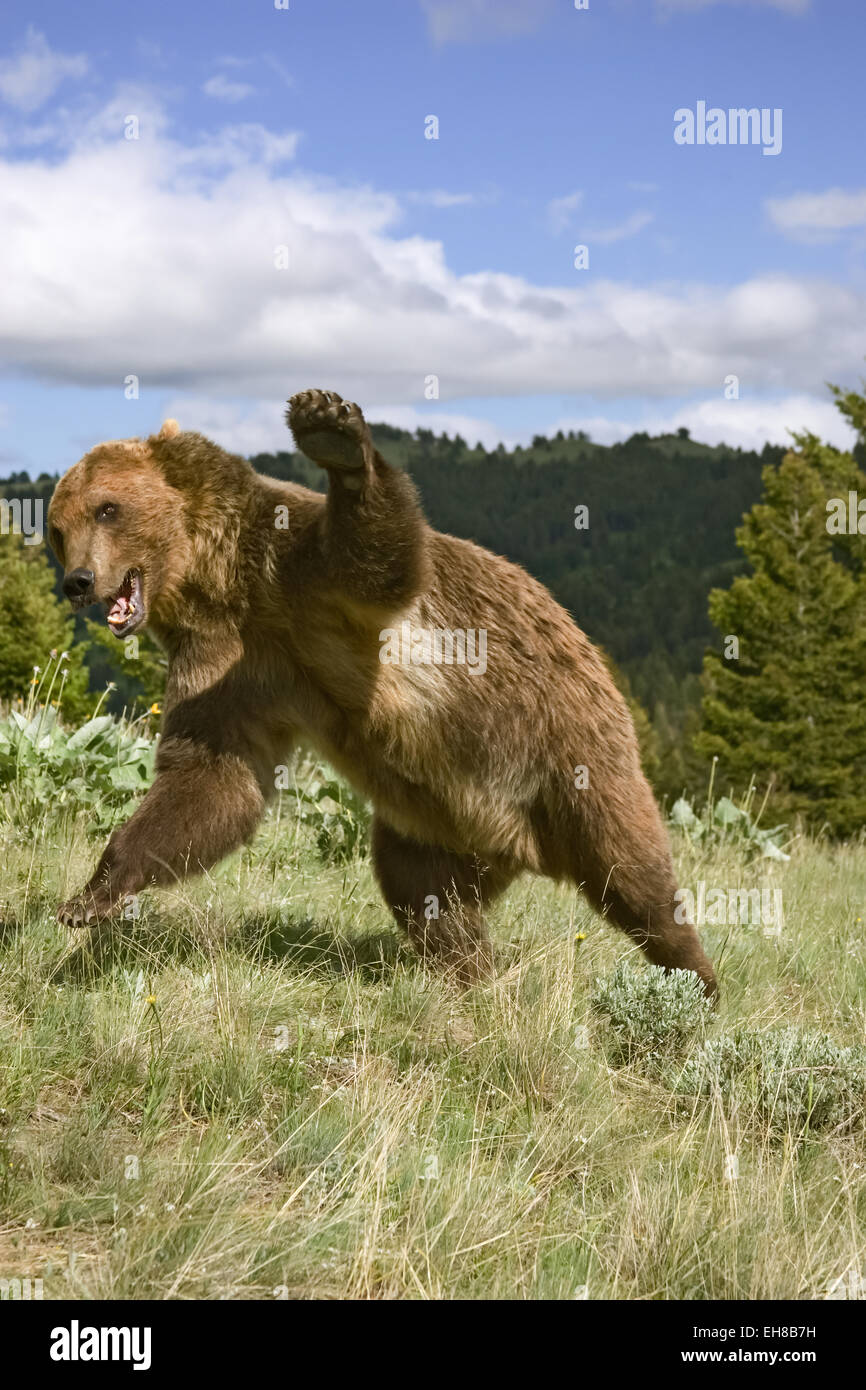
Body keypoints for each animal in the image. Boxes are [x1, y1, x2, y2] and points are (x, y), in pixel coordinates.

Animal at [44, 391, 717, 995]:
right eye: (56, 528)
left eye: (107, 509)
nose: (78, 581)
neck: (224, 584)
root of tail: (523, 847)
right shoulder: (226, 660)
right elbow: (213, 776)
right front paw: (91, 896)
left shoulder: (307, 578)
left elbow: (379, 555)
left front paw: (332, 432)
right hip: (437, 825)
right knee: (424, 891)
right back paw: (467, 974)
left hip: (568, 748)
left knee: (630, 870)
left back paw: (695, 980)